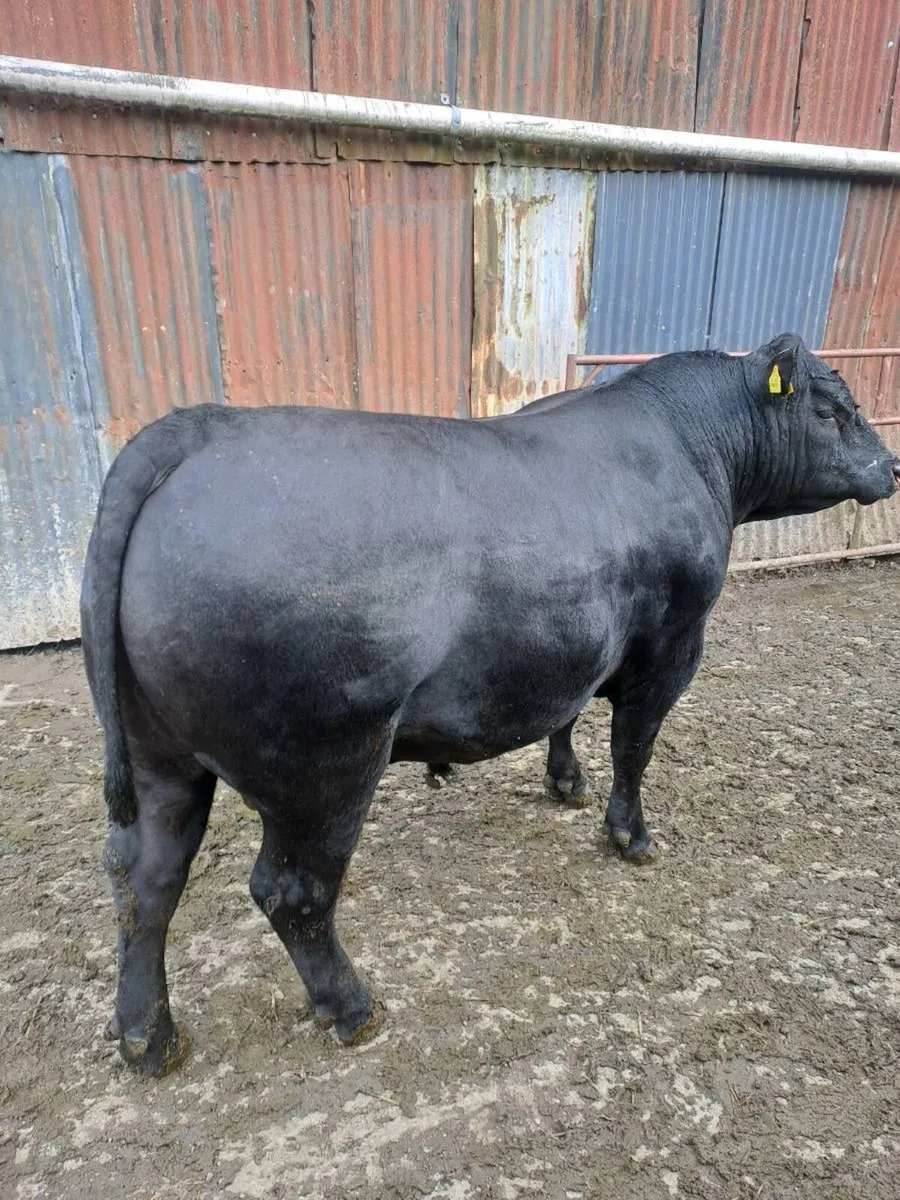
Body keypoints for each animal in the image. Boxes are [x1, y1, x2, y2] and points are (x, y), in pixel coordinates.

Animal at [81, 333, 899, 1076]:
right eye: (830, 410)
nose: (892, 465)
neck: (689, 446)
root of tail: (192, 431)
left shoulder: (570, 642)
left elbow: (567, 711)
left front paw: (565, 782)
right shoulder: (671, 646)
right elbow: (634, 747)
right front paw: (631, 836)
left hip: (160, 757)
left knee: (143, 879)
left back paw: (148, 1040)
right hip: (322, 765)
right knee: (292, 893)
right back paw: (353, 1008)